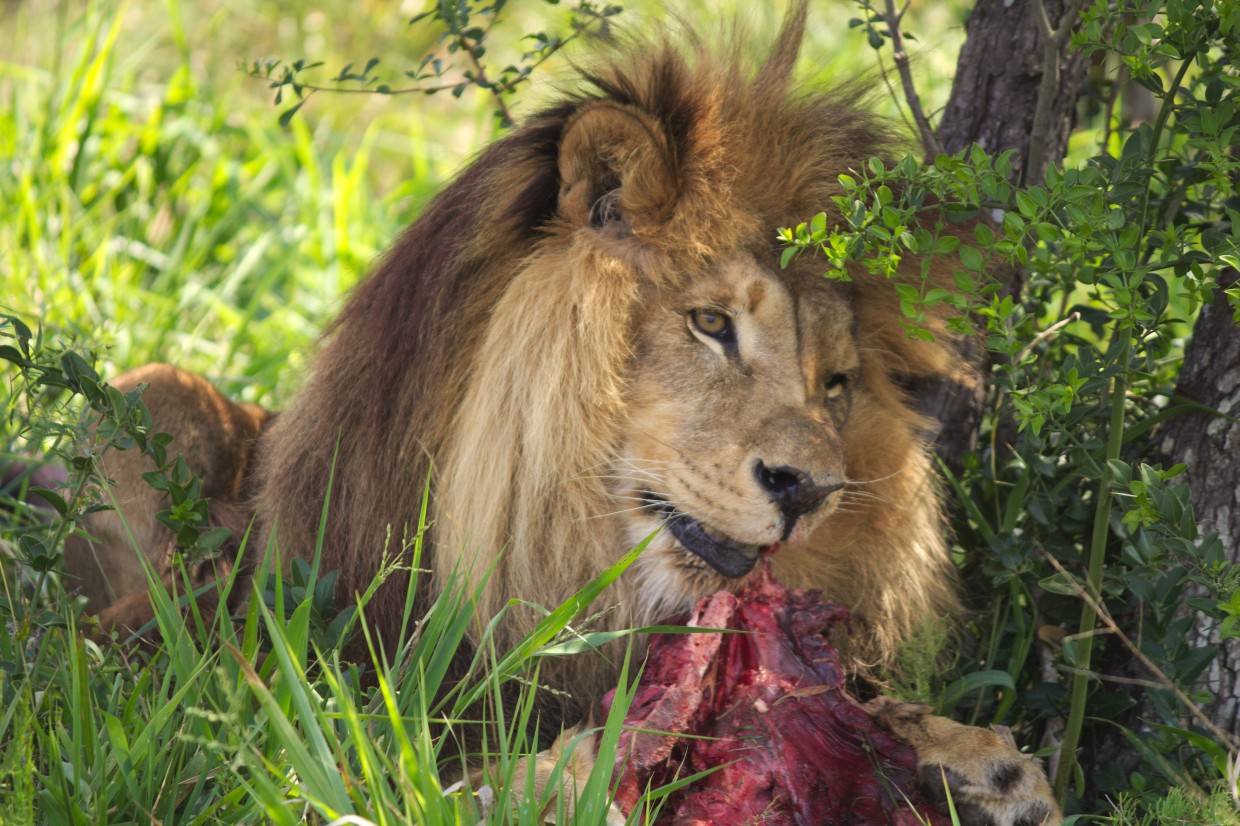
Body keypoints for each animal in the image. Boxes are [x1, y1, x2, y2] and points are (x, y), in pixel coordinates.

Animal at [60, 3, 1056, 818]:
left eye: (836, 382)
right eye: (711, 324)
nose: (808, 489)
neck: (571, 554)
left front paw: (982, 762)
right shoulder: (243, 694)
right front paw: (587, 768)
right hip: (150, 392)